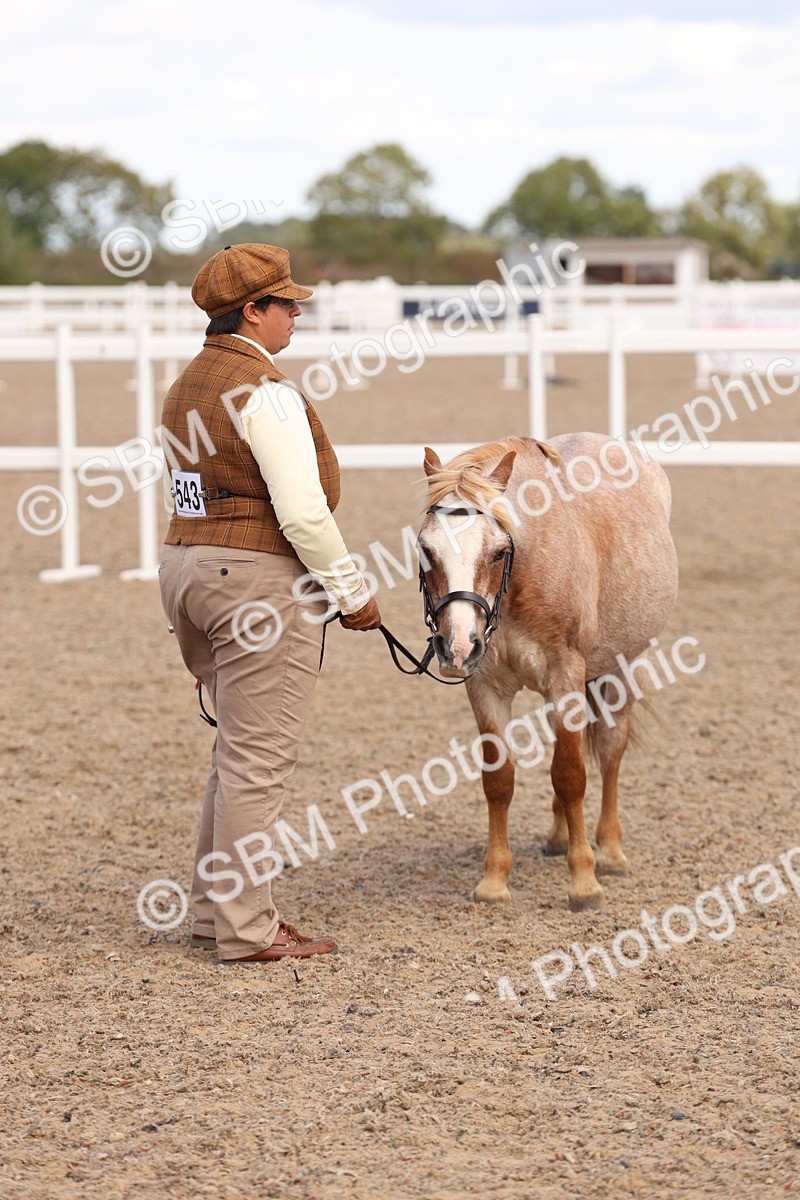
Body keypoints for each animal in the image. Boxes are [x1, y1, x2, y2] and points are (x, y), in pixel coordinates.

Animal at [417, 432, 678, 911]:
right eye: (427, 551)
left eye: (498, 552)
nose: (458, 646)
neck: (521, 578)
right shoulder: (485, 688)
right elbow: (499, 780)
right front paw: (494, 880)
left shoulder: (566, 678)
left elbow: (572, 775)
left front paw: (584, 880)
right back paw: (560, 836)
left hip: (619, 669)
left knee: (610, 751)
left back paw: (609, 850)